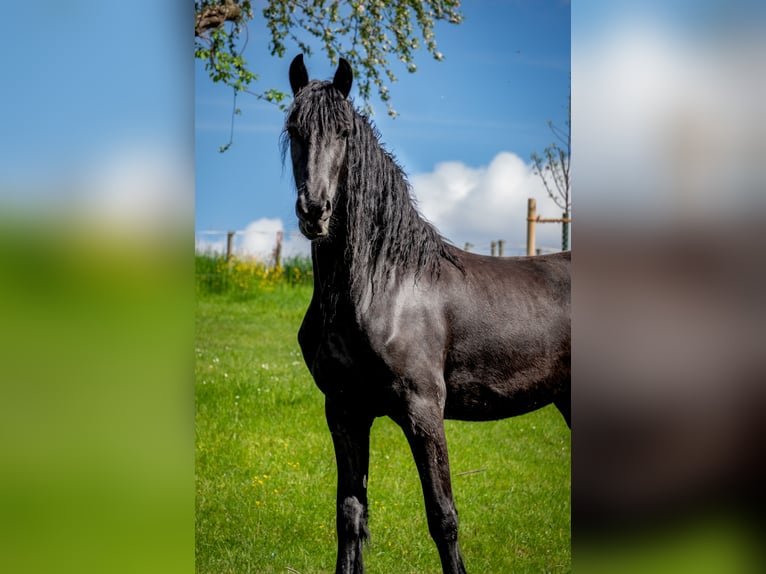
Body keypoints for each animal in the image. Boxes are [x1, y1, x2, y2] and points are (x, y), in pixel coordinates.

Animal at [282, 55, 568, 574]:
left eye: (344, 132)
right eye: (295, 129)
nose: (315, 210)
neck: (384, 286)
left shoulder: (423, 412)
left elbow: (443, 517)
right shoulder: (344, 411)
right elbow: (349, 515)